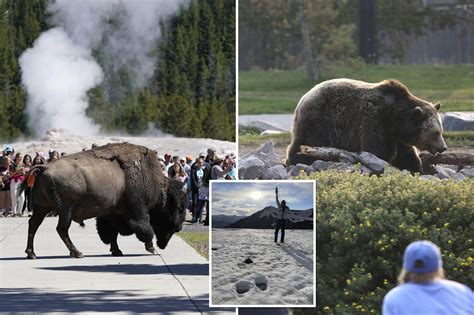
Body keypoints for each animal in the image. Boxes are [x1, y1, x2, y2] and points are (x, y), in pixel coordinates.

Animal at [21, 143, 187, 260]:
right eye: (179, 208)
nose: (179, 227)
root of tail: (44, 167)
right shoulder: (138, 211)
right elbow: (145, 230)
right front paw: (151, 248)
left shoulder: (111, 214)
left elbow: (111, 233)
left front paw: (117, 251)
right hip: (64, 210)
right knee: (61, 229)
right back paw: (77, 253)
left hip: (42, 208)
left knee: (34, 225)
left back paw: (31, 254)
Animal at [286, 78, 446, 173]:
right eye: (435, 133)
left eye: (441, 131)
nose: (443, 147)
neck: (397, 120)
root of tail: (303, 99)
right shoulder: (377, 120)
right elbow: (377, 150)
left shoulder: (398, 137)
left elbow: (406, 154)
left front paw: (417, 168)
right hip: (320, 120)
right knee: (307, 140)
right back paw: (297, 159)